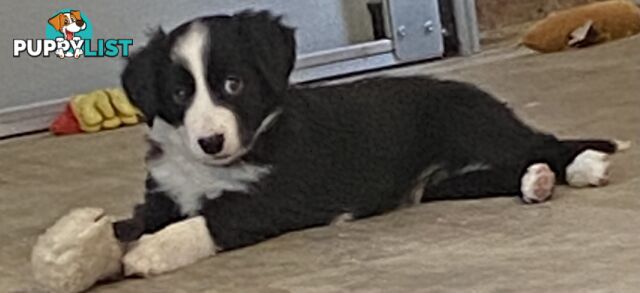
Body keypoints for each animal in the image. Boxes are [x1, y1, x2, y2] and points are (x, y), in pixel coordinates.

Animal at [112, 10, 624, 274]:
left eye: (233, 85)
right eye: (180, 94)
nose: (211, 141)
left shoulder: (274, 195)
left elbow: (210, 220)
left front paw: (151, 251)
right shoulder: (163, 193)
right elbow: (138, 219)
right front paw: (117, 236)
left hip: (477, 129)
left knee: (546, 143)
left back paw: (584, 165)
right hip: (441, 184)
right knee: (508, 169)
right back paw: (535, 182)